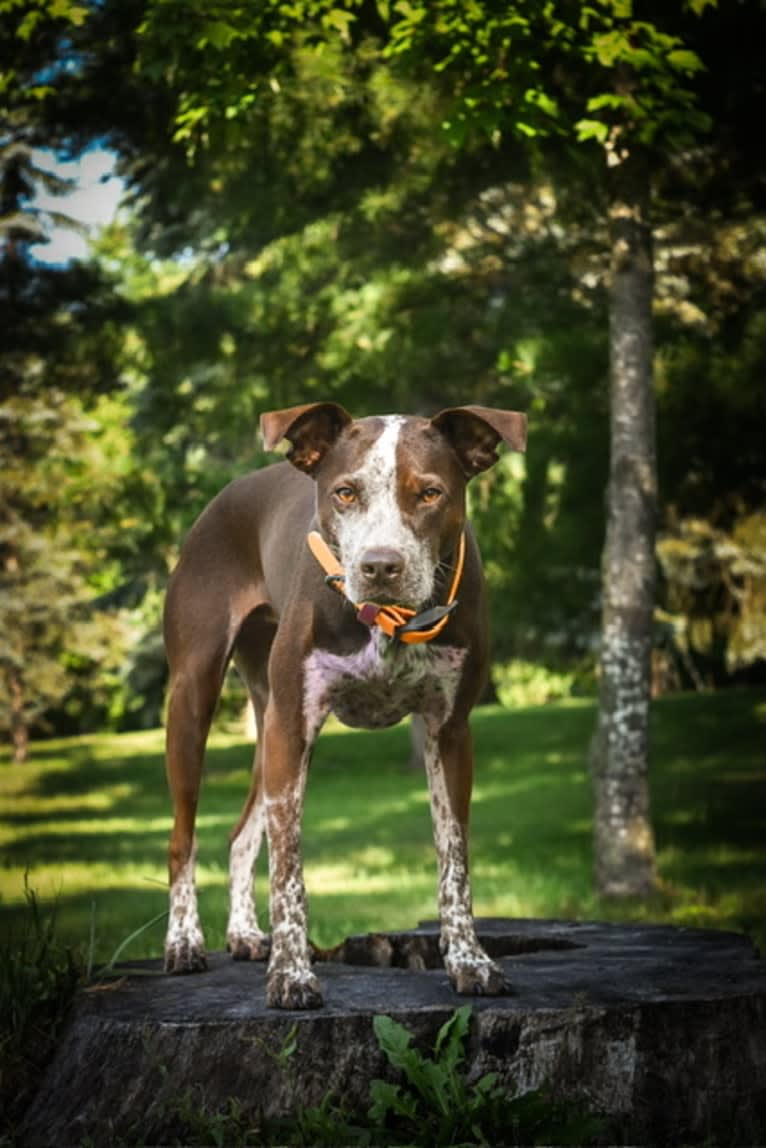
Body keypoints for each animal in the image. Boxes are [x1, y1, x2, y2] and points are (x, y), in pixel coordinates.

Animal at [163, 401, 528, 1005]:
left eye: (430, 493)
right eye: (345, 493)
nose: (380, 566)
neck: (389, 622)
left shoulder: (451, 732)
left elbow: (454, 858)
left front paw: (469, 960)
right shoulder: (294, 726)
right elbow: (289, 869)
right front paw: (291, 974)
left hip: (265, 718)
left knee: (239, 834)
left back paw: (243, 933)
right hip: (195, 699)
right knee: (182, 838)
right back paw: (184, 941)